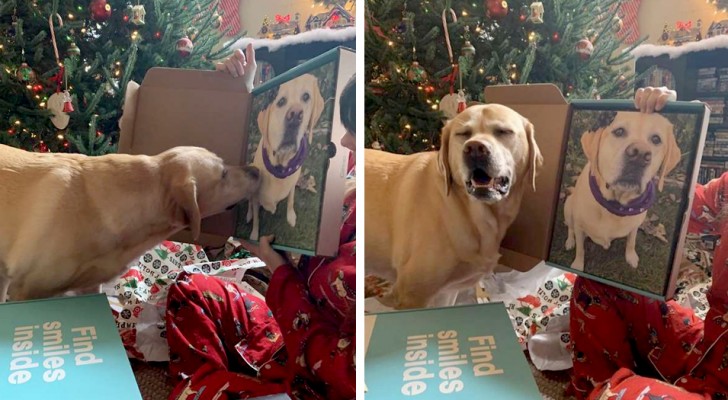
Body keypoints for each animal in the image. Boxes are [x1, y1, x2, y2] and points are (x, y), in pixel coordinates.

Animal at [246, 72, 322, 241]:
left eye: (306, 96)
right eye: (280, 102)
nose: (295, 115)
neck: (280, 166)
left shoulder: (293, 183)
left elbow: (291, 200)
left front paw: (291, 217)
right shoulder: (256, 198)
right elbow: (256, 218)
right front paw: (254, 235)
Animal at [564, 111, 684, 270]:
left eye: (656, 139)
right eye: (619, 131)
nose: (640, 155)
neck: (615, 203)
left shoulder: (635, 226)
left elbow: (631, 241)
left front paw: (631, 257)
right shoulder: (579, 226)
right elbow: (580, 249)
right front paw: (577, 264)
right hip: (568, 207)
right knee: (570, 229)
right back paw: (570, 241)